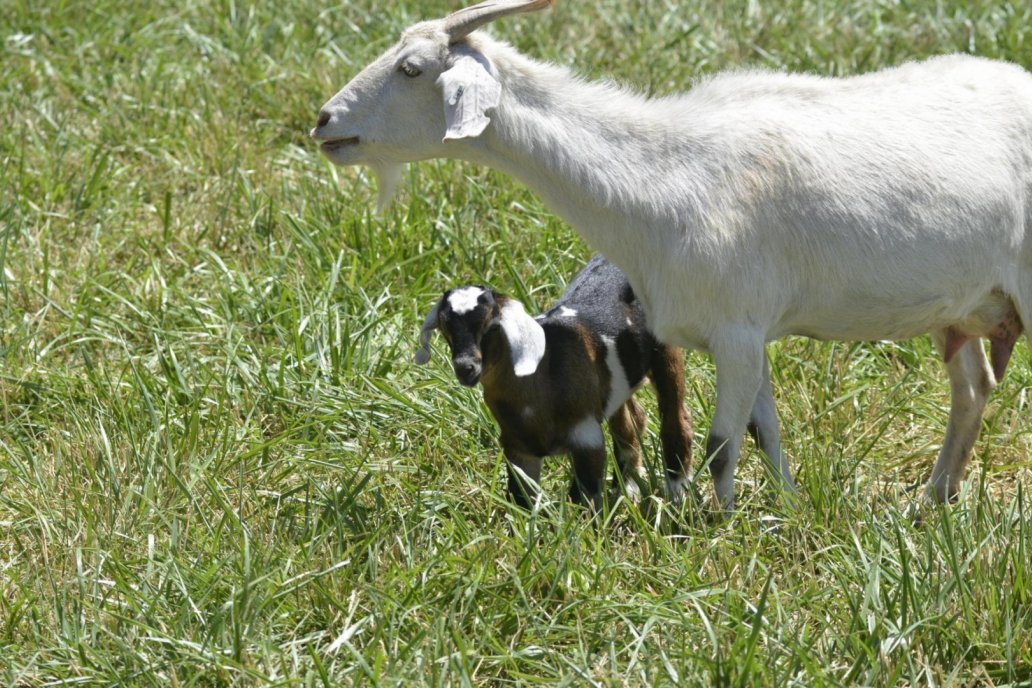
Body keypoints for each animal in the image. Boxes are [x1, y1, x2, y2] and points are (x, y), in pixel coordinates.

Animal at [309, 0, 1032, 513]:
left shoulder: (738, 331)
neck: (665, 175)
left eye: (410, 69)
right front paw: (787, 511)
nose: (322, 121)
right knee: (973, 388)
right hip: (963, 307)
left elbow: (717, 446)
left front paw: (722, 532)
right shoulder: (743, 333)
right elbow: (763, 432)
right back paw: (931, 503)